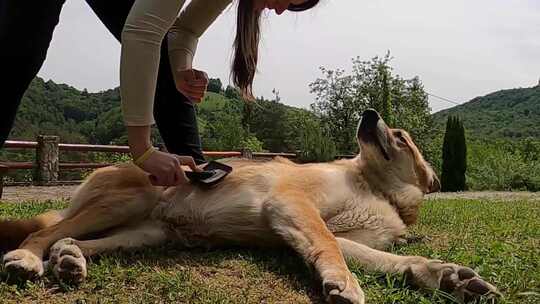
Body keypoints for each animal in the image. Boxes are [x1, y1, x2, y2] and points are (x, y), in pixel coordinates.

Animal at [0, 108, 498, 302]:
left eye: (401, 137)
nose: (369, 114)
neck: (376, 188)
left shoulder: (334, 234)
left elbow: (386, 260)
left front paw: (446, 277)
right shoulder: (293, 206)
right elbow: (328, 247)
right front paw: (343, 282)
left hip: (146, 232)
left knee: (73, 239)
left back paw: (69, 259)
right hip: (128, 199)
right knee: (41, 231)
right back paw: (29, 258)